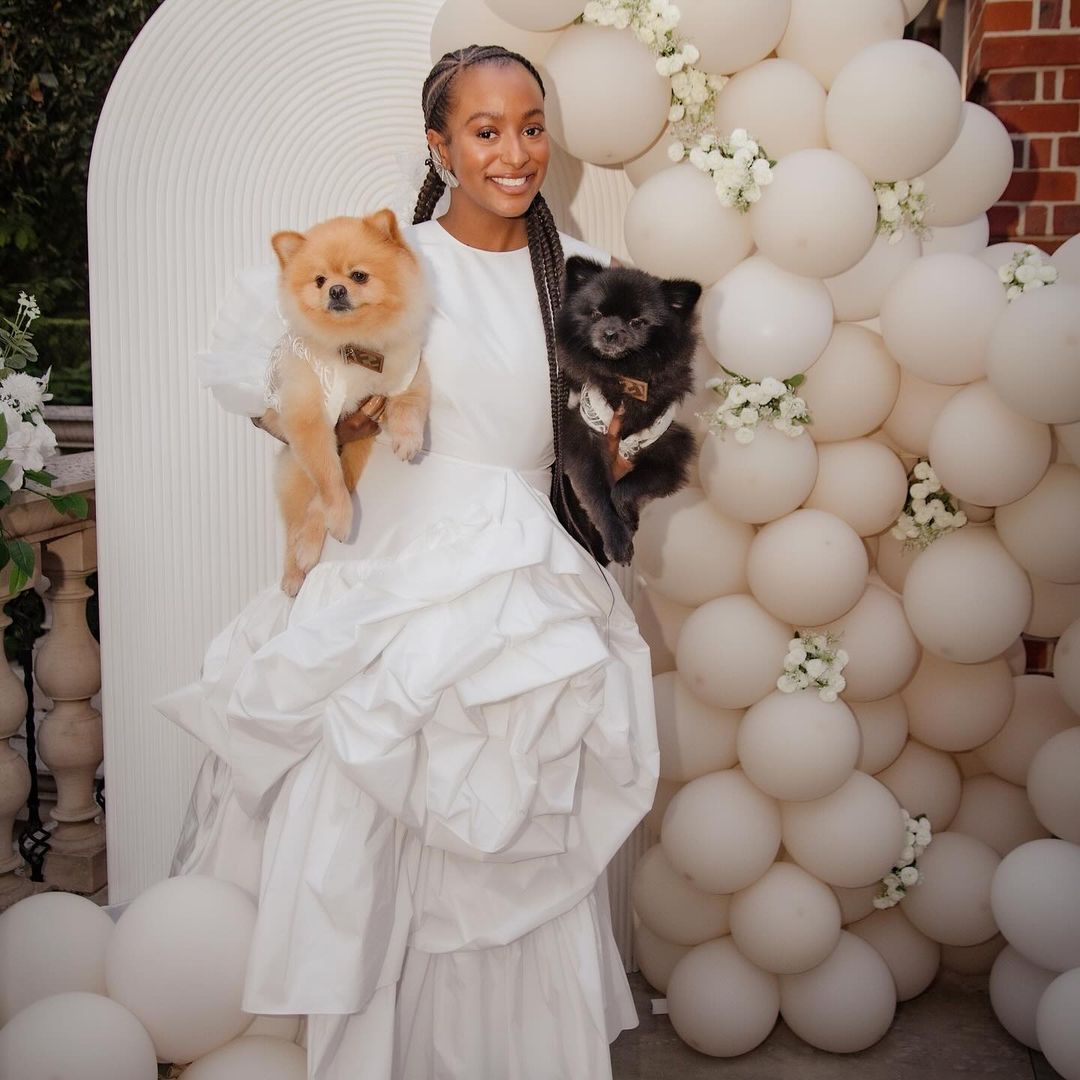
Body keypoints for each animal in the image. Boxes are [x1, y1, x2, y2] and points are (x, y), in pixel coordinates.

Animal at [261, 211, 431, 595]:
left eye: (359, 276)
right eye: (320, 280)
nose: (336, 290)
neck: (353, 347)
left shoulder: (407, 372)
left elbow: (409, 406)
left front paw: (408, 440)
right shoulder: (308, 416)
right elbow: (328, 477)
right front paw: (339, 516)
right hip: (297, 469)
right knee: (299, 518)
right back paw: (295, 571)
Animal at [556, 256, 700, 566]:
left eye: (637, 322)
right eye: (596, 314)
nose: (610, 333)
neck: (623, 377)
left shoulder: (668, 450)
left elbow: (624, 489)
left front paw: (629, 518)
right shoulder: (583, 440)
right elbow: (599, 496)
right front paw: (618, 539)